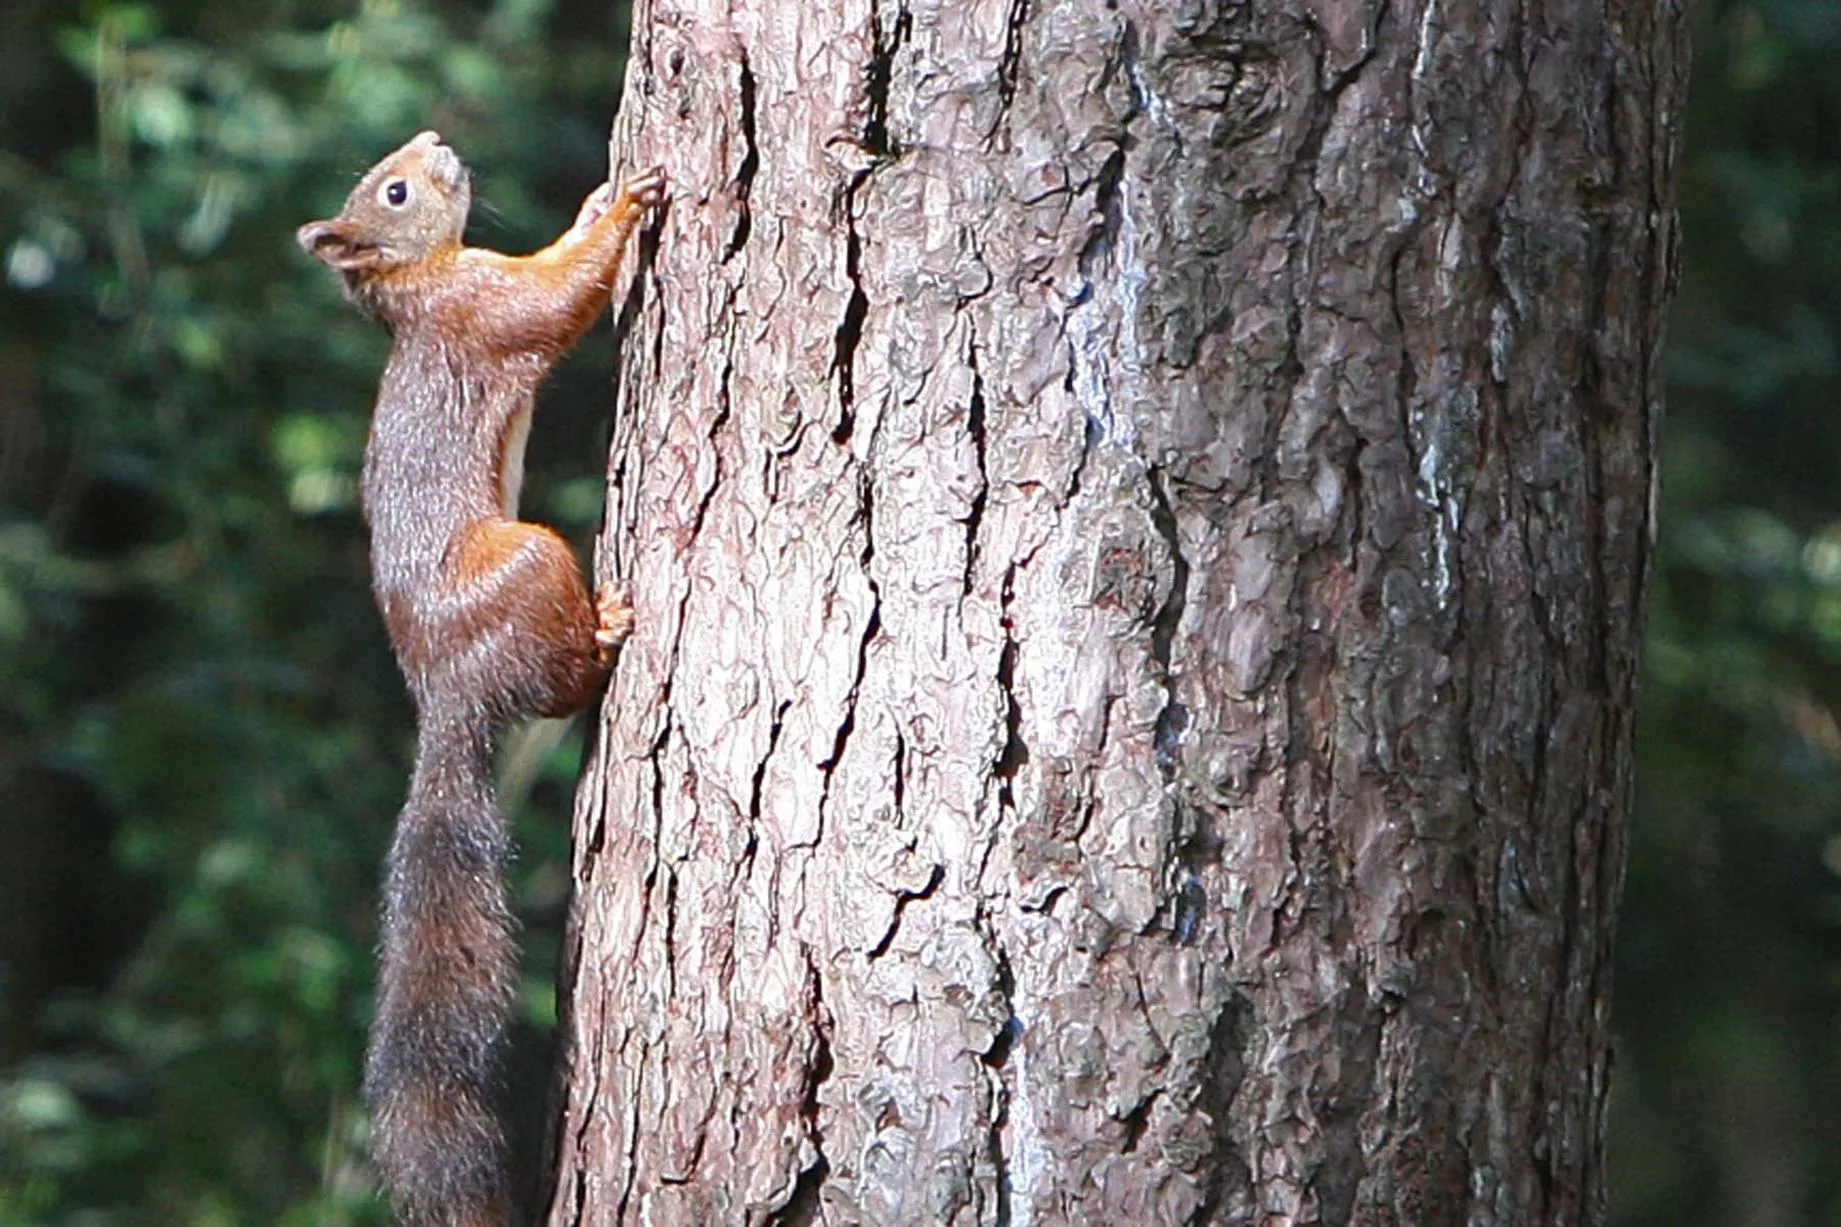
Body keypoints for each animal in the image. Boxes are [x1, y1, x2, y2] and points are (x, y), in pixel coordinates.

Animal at [290, 128, 659, 1215]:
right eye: (395, 191)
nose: (436, 140)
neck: (416, 284)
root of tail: (447, 695)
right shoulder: (482, 311)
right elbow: (553, 298)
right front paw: (623, 206)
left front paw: (593, 200)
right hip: (529, 558)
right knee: (564, 680)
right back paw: (606, 629)